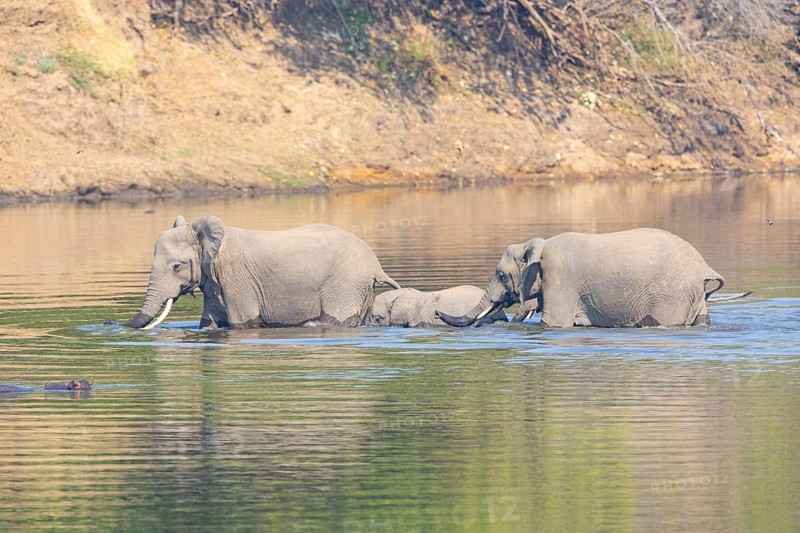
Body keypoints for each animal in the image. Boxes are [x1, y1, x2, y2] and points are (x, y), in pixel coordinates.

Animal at [121, 216, 401, 329]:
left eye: (177, 267)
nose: (112, 322)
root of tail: (376, 265)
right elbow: (210, 323)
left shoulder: (237, 279)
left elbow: (242, 323)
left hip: (346, 283)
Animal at [437, 228, 750, 328]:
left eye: (501, 275)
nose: (439, 313)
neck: (539, 243)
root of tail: (703, 267)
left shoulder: (560, 277)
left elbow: (555, 324)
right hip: (692, 296)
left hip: (670, 296)